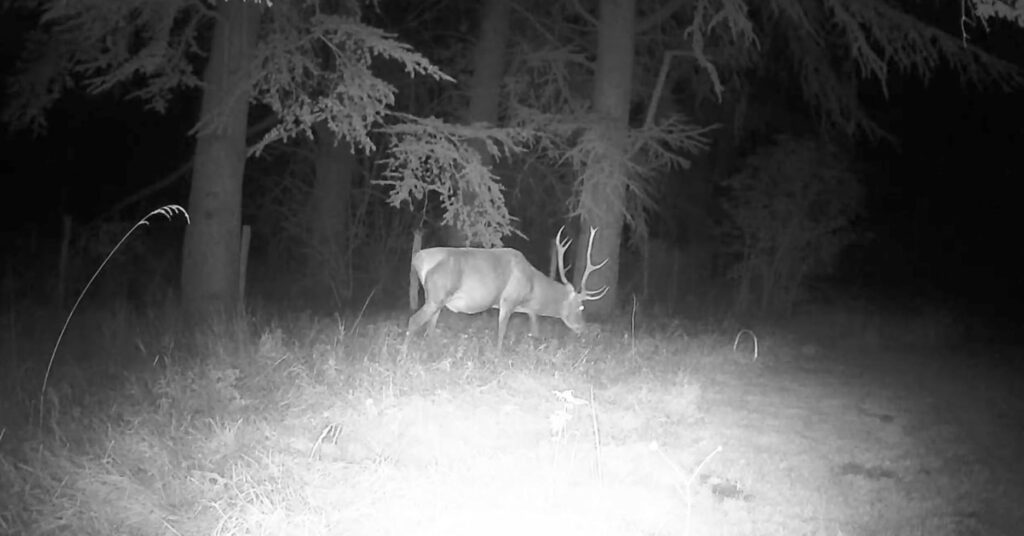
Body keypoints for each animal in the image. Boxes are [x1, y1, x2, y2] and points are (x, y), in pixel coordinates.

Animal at [407, 227, 608, 351]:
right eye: (581, 307)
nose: (583, 328)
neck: (532, 287)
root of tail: (419, 259)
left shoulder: (526, 307)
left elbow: (534, 329)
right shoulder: (508, 300)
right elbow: (501, 332)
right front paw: (498, 355)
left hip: (437, 299)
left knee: (430, 328)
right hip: (437, 294)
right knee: (413, 321)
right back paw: (405, 355)